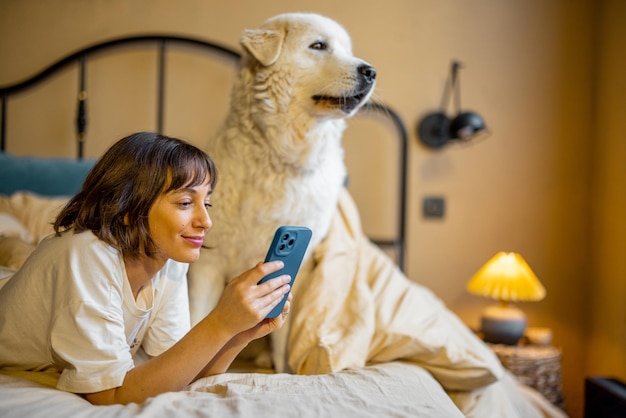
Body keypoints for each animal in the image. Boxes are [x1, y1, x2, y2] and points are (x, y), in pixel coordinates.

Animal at [184, 11, 370, 366]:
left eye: (348, 49)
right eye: (319, 46)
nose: (370, 71)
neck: (281, 160)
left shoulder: (301, 266)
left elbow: (282, 340)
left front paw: (283, 370)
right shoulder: (208, 264)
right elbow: (198, 320)